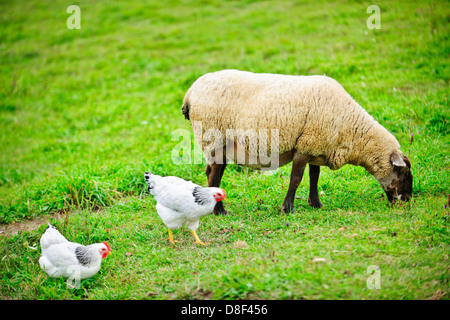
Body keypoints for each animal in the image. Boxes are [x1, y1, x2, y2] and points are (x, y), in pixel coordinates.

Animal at [181, 70, 414, 215]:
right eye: (403, 172)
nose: (407, 199)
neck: (350, 129)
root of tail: (190, 93)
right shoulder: (304, 146)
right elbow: (296, 179)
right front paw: (288, 208)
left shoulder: (315, 146)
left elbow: (314, 178)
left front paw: (316, 204)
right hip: (213, 137)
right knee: (214, 174)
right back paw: (219, 212)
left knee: (211, 172)